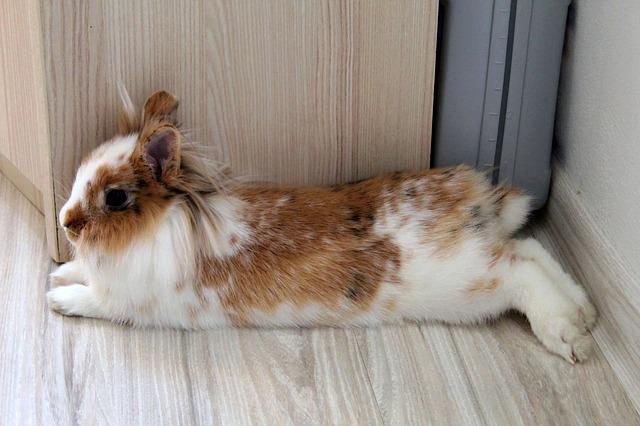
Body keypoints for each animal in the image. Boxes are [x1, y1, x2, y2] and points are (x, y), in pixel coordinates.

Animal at [47, 89, 596, 362]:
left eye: (116, 198)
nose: (65, 222)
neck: (160, 227)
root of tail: (473, 198)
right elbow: (82, 274)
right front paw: (58, 273)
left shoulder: (130, 303)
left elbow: (94, 301)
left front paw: (57, 298)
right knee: (531, 250)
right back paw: (585, 313)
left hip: (466, 283)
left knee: (518, 271)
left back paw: (568, 336)